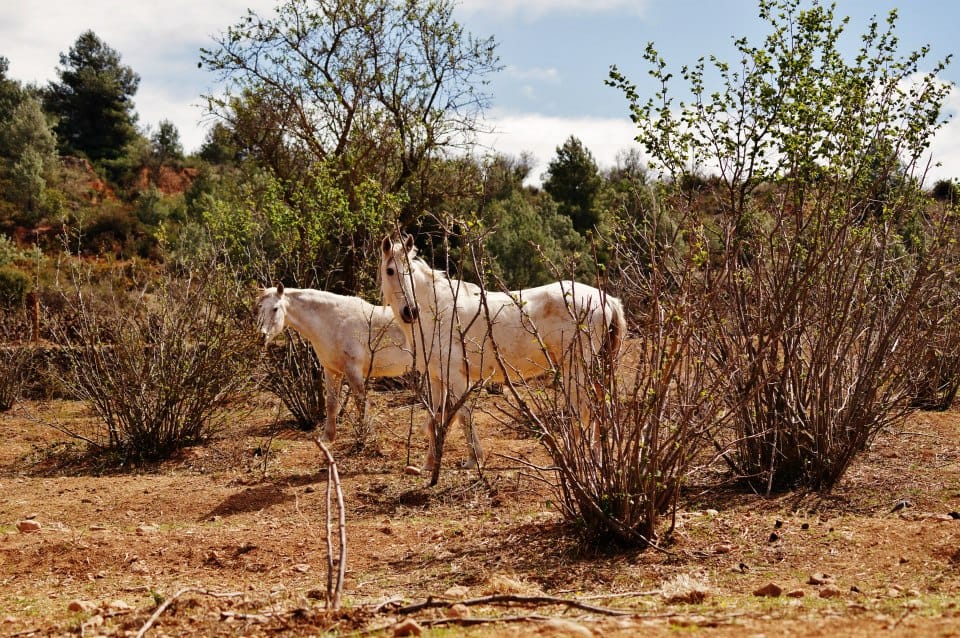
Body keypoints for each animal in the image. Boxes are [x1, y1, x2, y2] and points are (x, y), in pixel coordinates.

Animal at [255, 283, 412, 443]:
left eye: (275, 308)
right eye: (259, 307)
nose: (261, 336)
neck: (335, 323)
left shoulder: (353, 370)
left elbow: (361, 401)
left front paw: (366, 435)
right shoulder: (331, 370)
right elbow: (331, 403)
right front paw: (328, 437)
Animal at [379, 234, 626, 473]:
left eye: (410, 272)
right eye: (390, 271)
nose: (410, 311)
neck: (438, 310)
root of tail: (606, 300)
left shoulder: (457, 377)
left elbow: (463, 415)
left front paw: (474, 459)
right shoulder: (436, 377)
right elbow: (435, 419)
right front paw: (429, 463)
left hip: (575, 368)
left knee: (583, 409)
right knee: (602, 406)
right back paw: (598, 456)